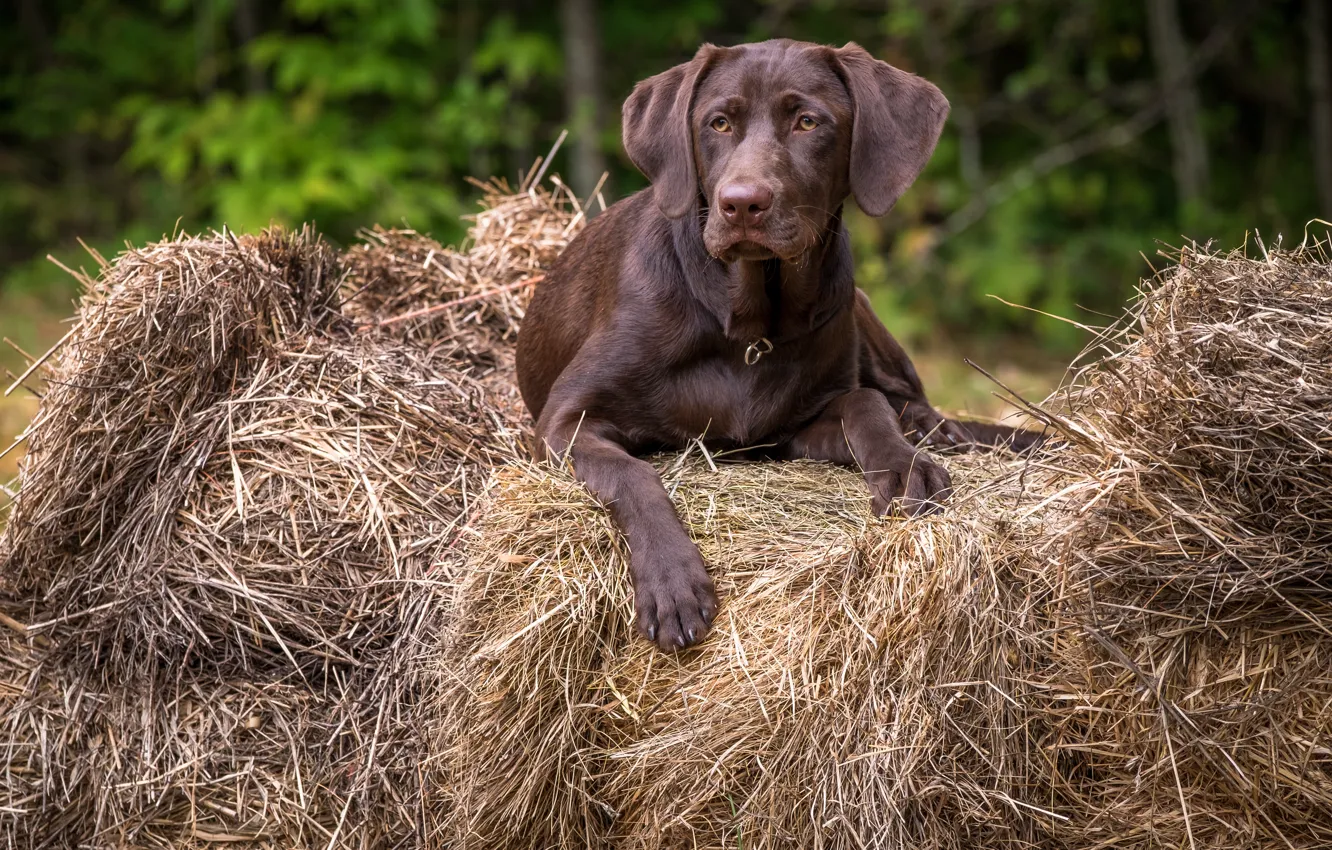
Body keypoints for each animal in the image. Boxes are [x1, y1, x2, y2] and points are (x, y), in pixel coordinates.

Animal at [514, 38, 1033, 652]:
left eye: (808, 121)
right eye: (718, 122)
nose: (742, 203)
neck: (747, 326)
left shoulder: (789, 431)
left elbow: (864, 403)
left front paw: (905, 464)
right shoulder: (563, 421)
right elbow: (634, 475)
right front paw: (672, 580)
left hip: (855, 302)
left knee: (904, 394)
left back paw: (934, 429)